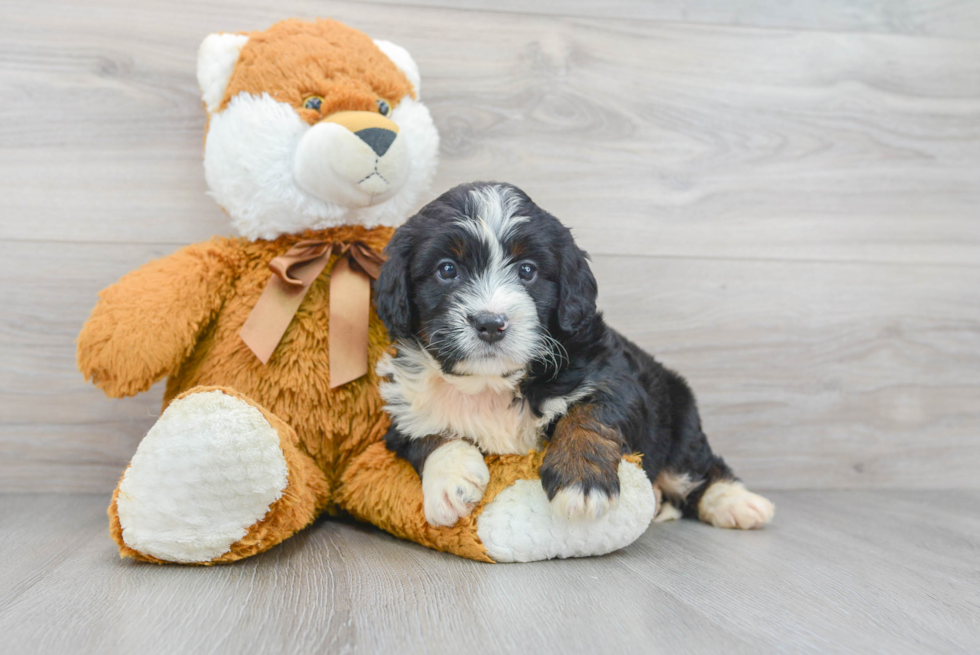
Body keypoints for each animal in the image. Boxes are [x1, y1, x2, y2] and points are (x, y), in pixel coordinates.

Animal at [374, 182, 772, 532]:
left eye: (527, 270)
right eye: (447, 270)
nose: (490, 323)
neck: (492, 383)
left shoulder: (614, 378)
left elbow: (588, 415)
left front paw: (582, 481)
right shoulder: (401, 408)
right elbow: (428, 434)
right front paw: (449, 485)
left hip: (679, 415)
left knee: (696, 469)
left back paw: (737, 502)